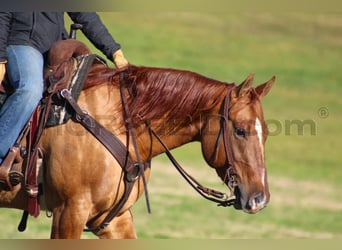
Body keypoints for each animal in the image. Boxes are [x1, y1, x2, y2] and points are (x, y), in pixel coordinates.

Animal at [0, 56, 274, 238]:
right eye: (240, 130)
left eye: (266, 133)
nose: (260, 199)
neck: (116, 125)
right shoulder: (68, 213)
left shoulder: (114, 218)